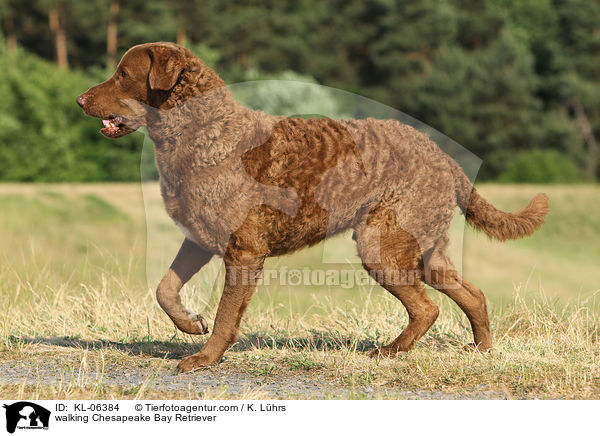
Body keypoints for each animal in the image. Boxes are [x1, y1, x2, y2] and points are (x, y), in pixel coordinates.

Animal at [77, 42, 552, 372]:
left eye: (123, 74)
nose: (79, 99)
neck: (204, 131)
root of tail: (445, 158)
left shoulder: (243, 250)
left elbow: (227, 313)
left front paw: (204, 358)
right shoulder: (199, 239)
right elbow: (165, 288)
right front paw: (191, 323)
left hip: (381, 243)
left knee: (428, 307)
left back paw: (388, 352)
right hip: (425, 249)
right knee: (471, 295)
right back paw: (483, 352)